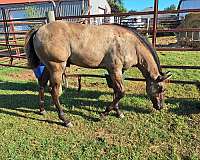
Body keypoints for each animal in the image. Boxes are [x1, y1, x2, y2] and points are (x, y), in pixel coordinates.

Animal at [24, 20, 172, 127]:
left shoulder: (117, 71)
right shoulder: (115, 69)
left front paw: (118, 112)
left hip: (48, 66)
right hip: (56, 67)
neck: (130, 44)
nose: (160, 106)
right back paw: (65, 120)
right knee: (54, 91)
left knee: (42, 84)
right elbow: (121, 92)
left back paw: (42, 110)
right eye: (161, 88)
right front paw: (103, 114)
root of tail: (39, 29)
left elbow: (116, 91)